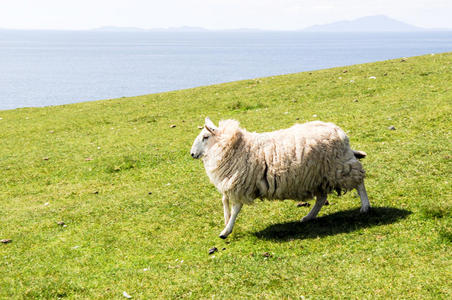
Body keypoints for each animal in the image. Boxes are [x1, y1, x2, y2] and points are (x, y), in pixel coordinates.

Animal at [189, 117, 370, 239]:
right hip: (319, 175)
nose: (192, 154)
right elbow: (225, 203)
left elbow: (235, 209)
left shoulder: (241, 184)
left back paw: (365, 207)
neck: (233, 146)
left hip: (340, 167)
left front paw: (226, 231)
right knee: (321, 198)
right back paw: (308, 217)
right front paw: (226, 224)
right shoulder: (231, 184)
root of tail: (340, 132)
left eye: (205, 137)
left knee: (359, 181)